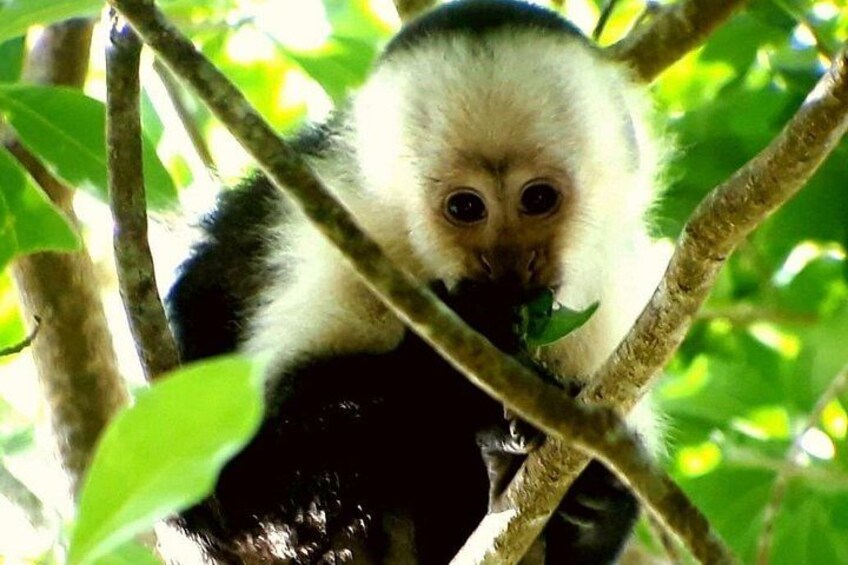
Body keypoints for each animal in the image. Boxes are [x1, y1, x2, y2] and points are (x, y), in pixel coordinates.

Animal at [166, 0, 670, 562]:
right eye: (466, 207)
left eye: (537, 198)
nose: (506, 266)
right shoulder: (344, 236)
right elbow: (254, 465)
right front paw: (472, 349)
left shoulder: (608, 294)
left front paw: (594, 505)